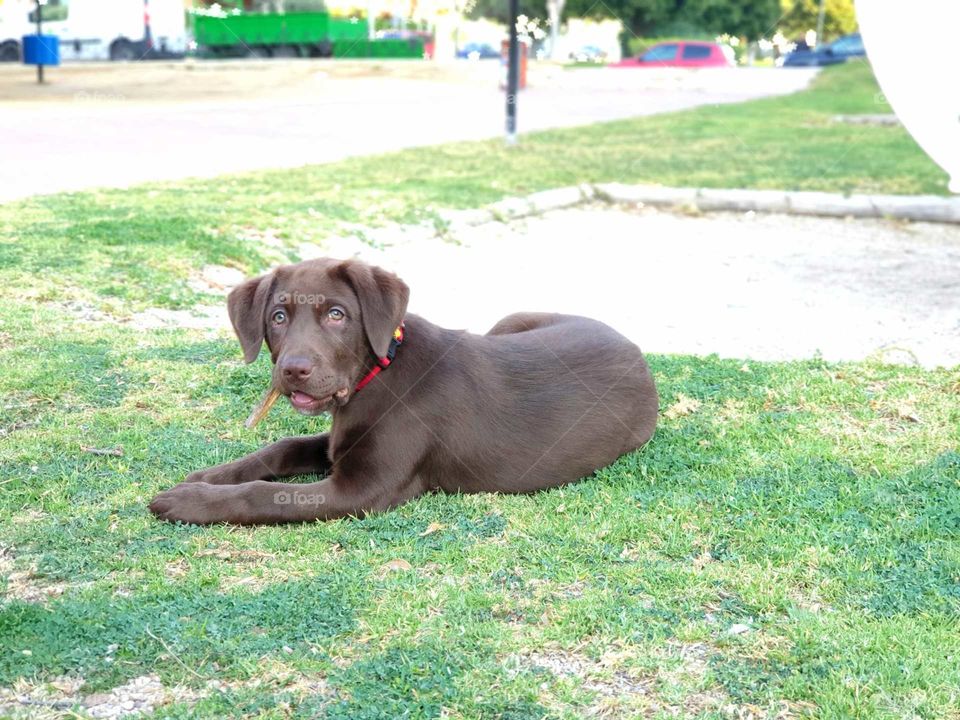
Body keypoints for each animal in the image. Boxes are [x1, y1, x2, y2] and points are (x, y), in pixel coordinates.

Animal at [150, 258, 660, 524]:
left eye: (336, 314)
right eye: (278, 317)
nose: (292, 370)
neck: (378, 374)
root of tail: (634, 347)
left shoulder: (364, 489)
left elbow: (267, 495)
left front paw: (188, 501)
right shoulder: (339, 442)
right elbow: (281, 447)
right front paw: (210, 476)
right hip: (508, 322)